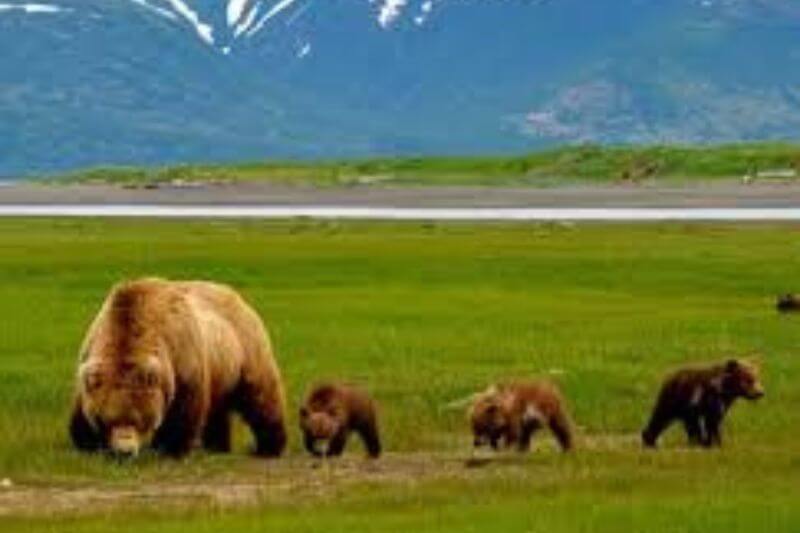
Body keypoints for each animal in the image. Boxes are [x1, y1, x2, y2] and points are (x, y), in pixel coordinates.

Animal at [68, 278, 288, 458]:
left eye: (140, 420)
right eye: (107, 419)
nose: (125, 452)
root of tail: (237, 297)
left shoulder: (182, 360)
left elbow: (182, 411)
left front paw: (169, 448)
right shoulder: (90, 355)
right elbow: (82, 412)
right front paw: (88, 442)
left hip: (245, 350)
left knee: (260, 395)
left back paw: (270, 446)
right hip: (220, 369)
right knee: (216, 409)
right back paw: (217, 446)